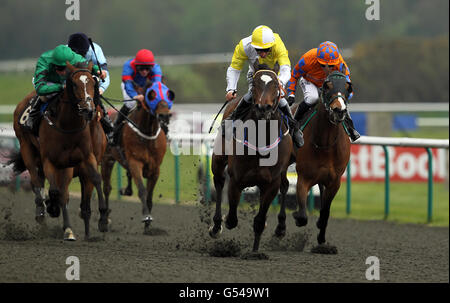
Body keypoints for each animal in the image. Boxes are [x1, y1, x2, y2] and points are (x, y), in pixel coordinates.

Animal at [9, 61, 109, 241]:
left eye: (93, 82)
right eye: (74, 84)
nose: (88, 110)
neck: (68, 127)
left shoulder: (87, 158)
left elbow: (96, 181)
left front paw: (102, 220)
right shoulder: (53, 162)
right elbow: (58, 192)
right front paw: (56, 213)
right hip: (27, 149)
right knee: (37, 182)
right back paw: (42, 213)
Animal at [101, 82, 173, 232]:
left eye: (168, 94)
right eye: (151, 95)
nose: (164, 116)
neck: (147, 133)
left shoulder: (155, 168)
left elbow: (150, 195)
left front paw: (148, 225)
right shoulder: (135, 163)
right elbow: (142, 190)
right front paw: (146, 216)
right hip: (107, 160)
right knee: (106, 188)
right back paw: (104, 220)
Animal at [209, 64, 294, 254]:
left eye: (276, 85)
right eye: (254, 84)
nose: (263, 108)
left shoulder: (271, 183)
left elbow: (260, 221)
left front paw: (255, 253)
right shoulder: (236, 179)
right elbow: (232, 219)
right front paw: (223, 222)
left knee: (285, 185)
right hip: (218, 159)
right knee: (219, 182)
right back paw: (216, 226)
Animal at [288, 72, 352, 248]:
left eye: (347, 86)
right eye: (328, 86)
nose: (339, 110)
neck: (326, 143)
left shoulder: (334, 181)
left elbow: (325, 212)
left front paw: (322, 239)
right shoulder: (303, 177)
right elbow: (303, 215)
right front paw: (297, 216)